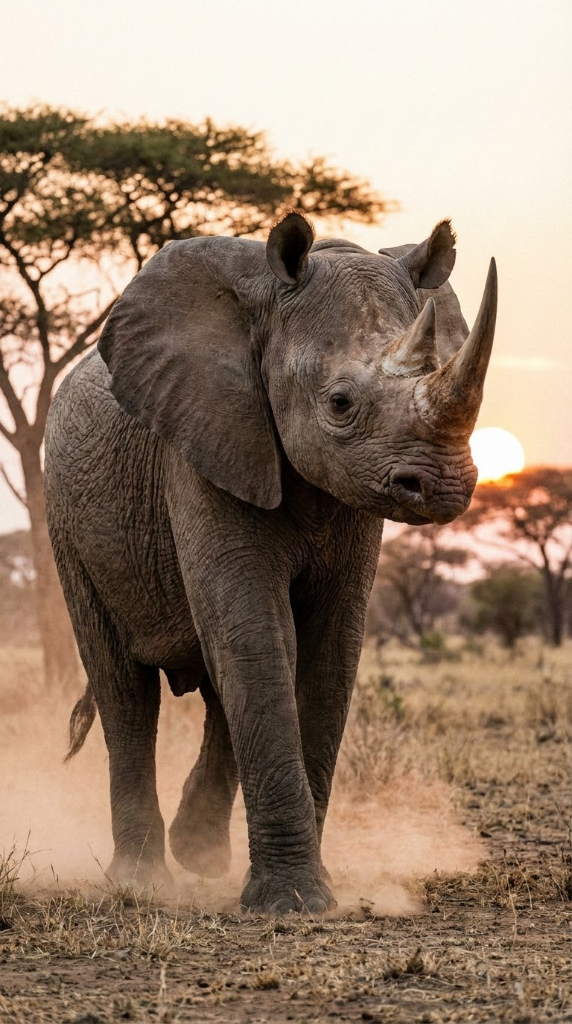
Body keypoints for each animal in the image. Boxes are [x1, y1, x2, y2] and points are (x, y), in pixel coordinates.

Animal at [44, 212, 497, 914]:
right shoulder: (201, 441)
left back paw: (200, 858)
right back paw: (144, 880)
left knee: (215, 683)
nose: (445, 487)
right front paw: (292, 905)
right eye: (339, 403)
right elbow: (256, 632)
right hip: (66, 521)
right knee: (126, 690)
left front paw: (310, 896)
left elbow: (328, 650)